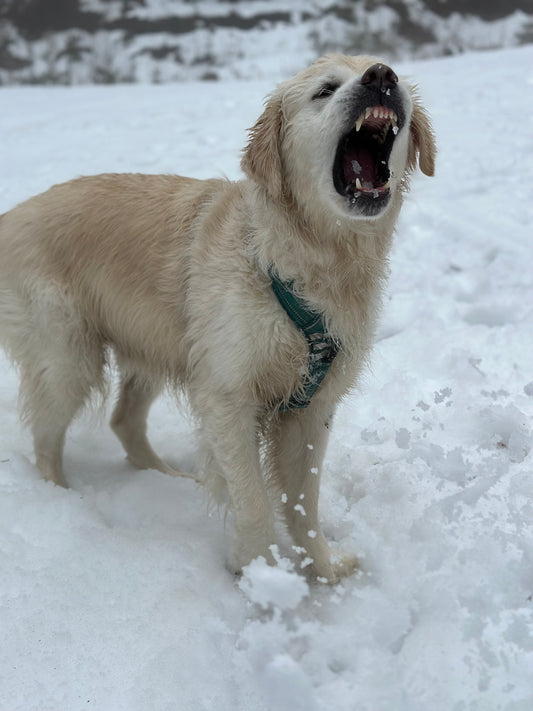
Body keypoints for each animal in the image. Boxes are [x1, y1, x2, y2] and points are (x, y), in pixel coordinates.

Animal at [0, 54, 432, 580]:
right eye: (325, 90)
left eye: (387, 73)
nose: (382, 76)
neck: (301, 259)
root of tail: (10, 216)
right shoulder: (228, 397)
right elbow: (254, 500)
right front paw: (261, 573)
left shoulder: (312, 408)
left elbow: (304, 503)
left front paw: (322, 568)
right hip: (68, 357)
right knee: (47, 438)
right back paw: (60, 499)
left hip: (156, 345)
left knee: (124, 420)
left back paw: (167, 475)